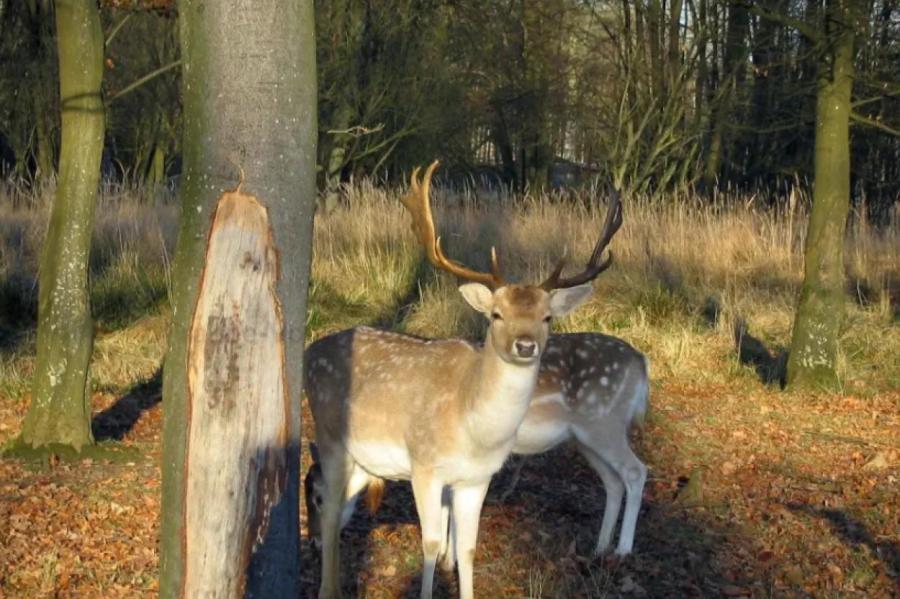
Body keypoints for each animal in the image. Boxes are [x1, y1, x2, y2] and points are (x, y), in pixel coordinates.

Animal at [306, 162, 624, 596]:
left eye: (547, 317)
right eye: (496, 315)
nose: (526, 345)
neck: (473, 431)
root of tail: (310, 351)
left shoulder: (477, 479)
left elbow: (469, 548)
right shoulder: (424, 465)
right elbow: (430, 543)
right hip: (332, 438)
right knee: (329, 507)